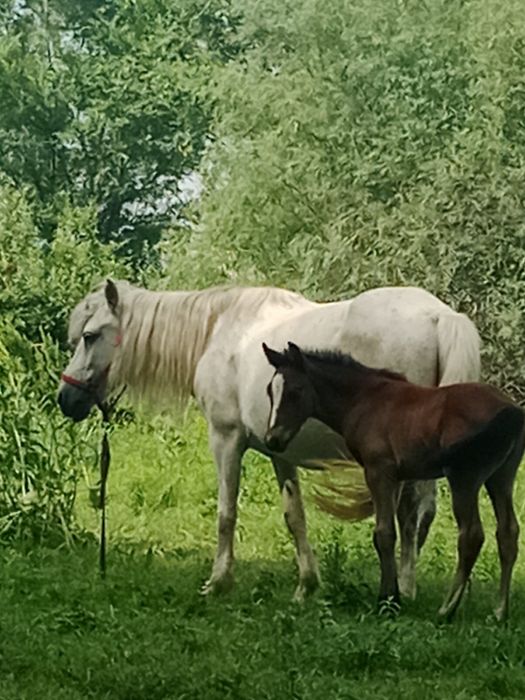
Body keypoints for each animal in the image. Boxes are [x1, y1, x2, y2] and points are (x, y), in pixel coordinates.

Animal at [57, 279, 480, 601]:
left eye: (90, 336)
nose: (66, 398)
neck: (219, 332)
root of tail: (439, 316)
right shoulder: (281, 451)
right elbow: (295, 517)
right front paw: (306, 586)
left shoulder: (226, 439)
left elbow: (226, 513)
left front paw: (218, 582)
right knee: (423, 515)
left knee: (410, 515)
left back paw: (403, 589)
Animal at [263, 341, 524, 620]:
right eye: (270, 391)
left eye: (296, 391)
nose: (272, 439)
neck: (364, 400)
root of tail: (513, 410)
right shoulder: (398, 477)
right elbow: (397, 530)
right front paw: (394, 595)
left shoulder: (378, 471)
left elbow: (384, 533)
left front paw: (387, 602)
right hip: (501, 477)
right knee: (508, 533)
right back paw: (499, 611)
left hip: (465, 479)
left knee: (471, 535)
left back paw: (447, 609)